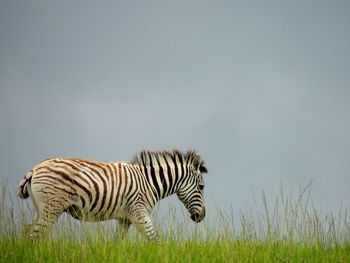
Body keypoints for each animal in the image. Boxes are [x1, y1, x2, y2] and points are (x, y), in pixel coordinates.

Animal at [18, 150, 208, 242]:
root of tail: (35, 168)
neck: (150, 183)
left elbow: (118, 242)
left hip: (42, 208)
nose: (202, 216)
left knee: (27, 230)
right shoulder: (139, 213)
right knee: (35, 235)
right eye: (201, 187)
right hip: (52, 208)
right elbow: (155, 239)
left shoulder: (125, 219)